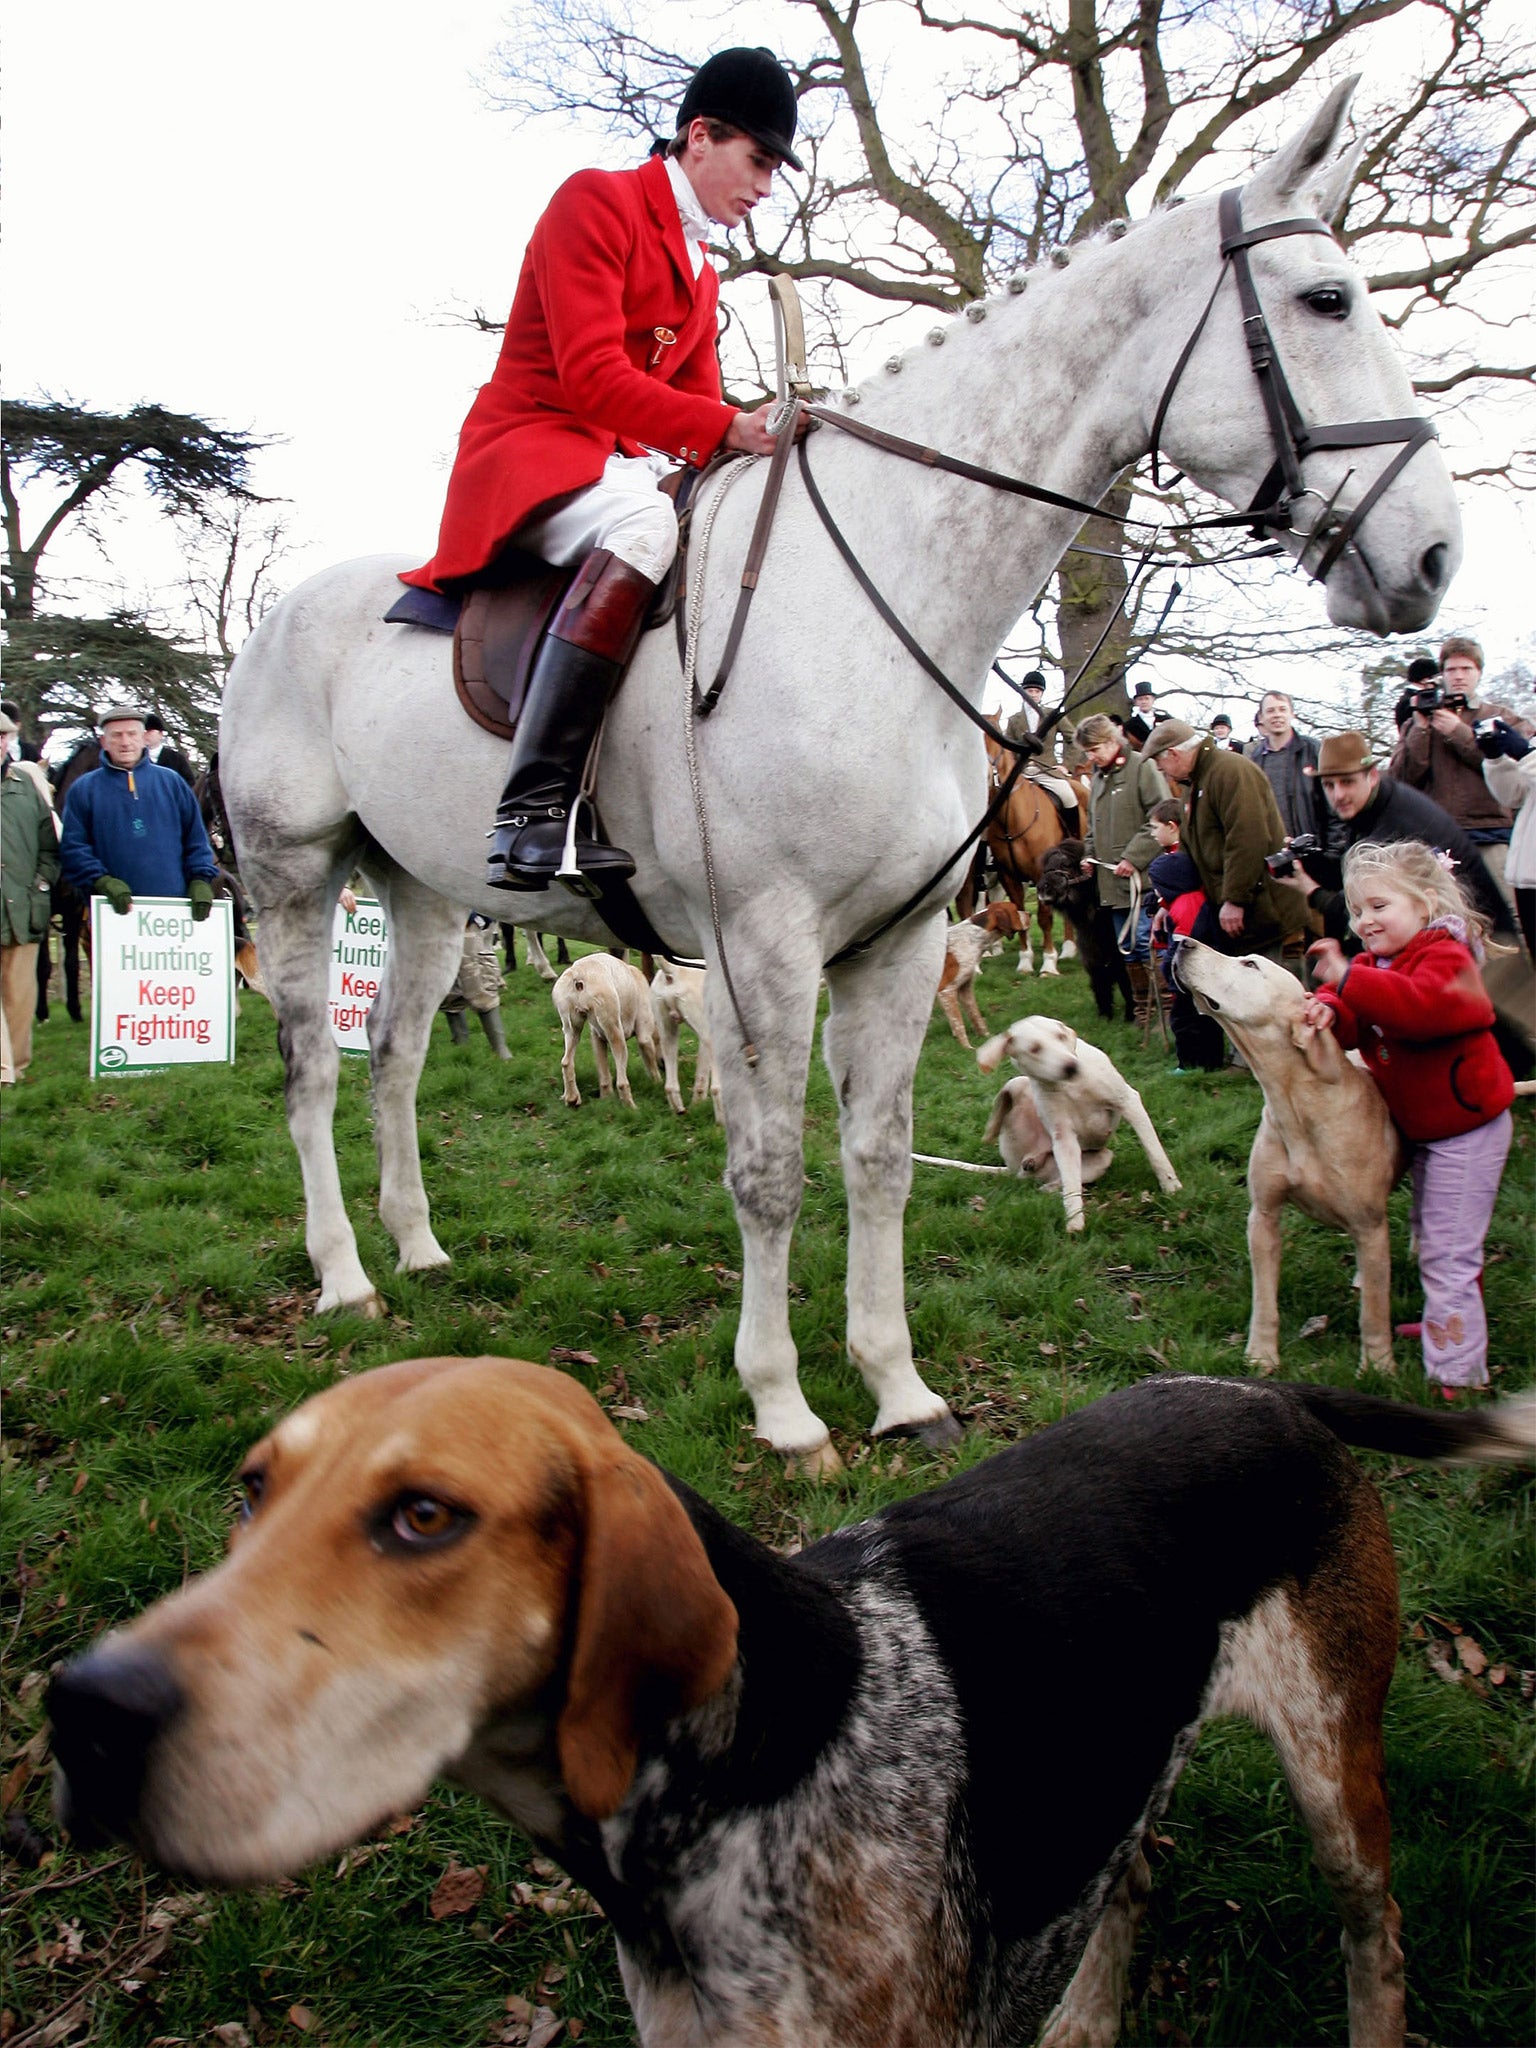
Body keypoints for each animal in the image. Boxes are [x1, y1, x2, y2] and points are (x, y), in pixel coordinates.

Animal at [978, 1011, 1187, 1228]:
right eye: (1034, 1049)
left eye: (1060, 1037)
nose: (1071, 1067)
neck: (1069, 1085)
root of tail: (1019, 1166)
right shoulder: (1064, 1137)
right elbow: (1071, 1185)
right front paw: (1074, 1221)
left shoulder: (1129, 1102)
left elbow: (1155, 1152)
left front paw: (1171, 1187)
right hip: (1019, 1090)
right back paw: (993, 1134)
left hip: (1100, 1159)